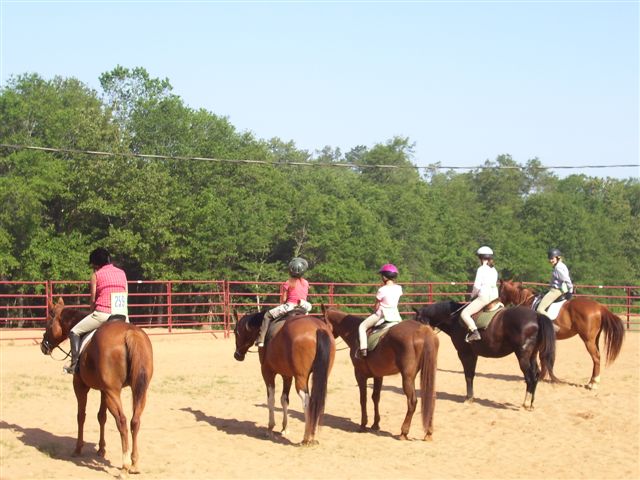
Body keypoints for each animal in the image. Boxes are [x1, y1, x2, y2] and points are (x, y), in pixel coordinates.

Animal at [39, 298, 154, 474]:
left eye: (48, 323)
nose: (43, 346)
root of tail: (130, 333)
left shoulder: (80, 386)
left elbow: (81, 416)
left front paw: (78, 449)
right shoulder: (103, 391)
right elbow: (102, 417)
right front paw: (101, 449)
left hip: (113, 392)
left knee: (122, 421)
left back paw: (125, 465)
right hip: (139, 390)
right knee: (135, 421)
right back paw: (134, 463)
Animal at [234, 310, 336, 444]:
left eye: (235, 332)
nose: (237, 355)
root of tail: (319, 328)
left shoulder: (267, 372)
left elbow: (271, 400)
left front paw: (270, 428)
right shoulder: (287, 375)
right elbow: (284, 400)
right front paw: (284, 428)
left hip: (301, 378)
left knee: (307, 402)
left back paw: (306, 437)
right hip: (322, 377)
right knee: (318, 401)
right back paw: (313, 435)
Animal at [320, 306, 440, 440]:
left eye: (321, 320)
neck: (353, 332)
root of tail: (423, 330)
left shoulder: (360, 375)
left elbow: (363, 399)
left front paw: (363, 425)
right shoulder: (378, 376)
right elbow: (375, 398)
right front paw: (375, 424)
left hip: (407, 378)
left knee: (412, 401)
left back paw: (404, 432)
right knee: (430, 399)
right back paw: (428, 433)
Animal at [416, 300, 556, 408]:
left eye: (418, 320)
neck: (454, 319)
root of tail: (536, 316)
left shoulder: (464, 353)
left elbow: (468, 376)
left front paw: (468, 398)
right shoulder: (473, 355)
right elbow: (471, 375)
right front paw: (470, 397)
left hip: (522, 356)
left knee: (530, 377)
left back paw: (526, 403)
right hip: (532, 355)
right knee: (536, 375)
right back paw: (531, 403)